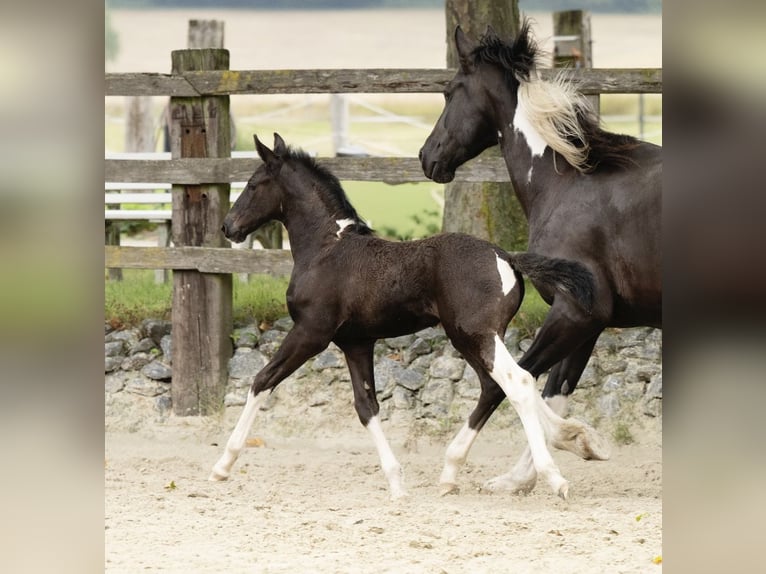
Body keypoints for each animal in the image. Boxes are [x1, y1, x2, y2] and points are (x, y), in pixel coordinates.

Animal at [210, 132, 609, 500]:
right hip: (472, 337)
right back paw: (562, 442)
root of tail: (506, 257)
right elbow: (366, 406)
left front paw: (222, 466)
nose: (228, 226)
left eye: (252, 184)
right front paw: (397, 484)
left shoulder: (311, 332)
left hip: (475, 334)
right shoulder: (356, 342)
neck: (326, 249)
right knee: (495, 385)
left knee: (518, 382)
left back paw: (553, 476)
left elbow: (262, 380)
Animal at [419, 20, 661, 495]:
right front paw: (531, 470)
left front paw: (454, 468)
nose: (427, 157)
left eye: (451, 91)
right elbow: (551, 391)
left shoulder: (575, 313)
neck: (565, 182)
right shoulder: (589, 322)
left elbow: (509, 383)